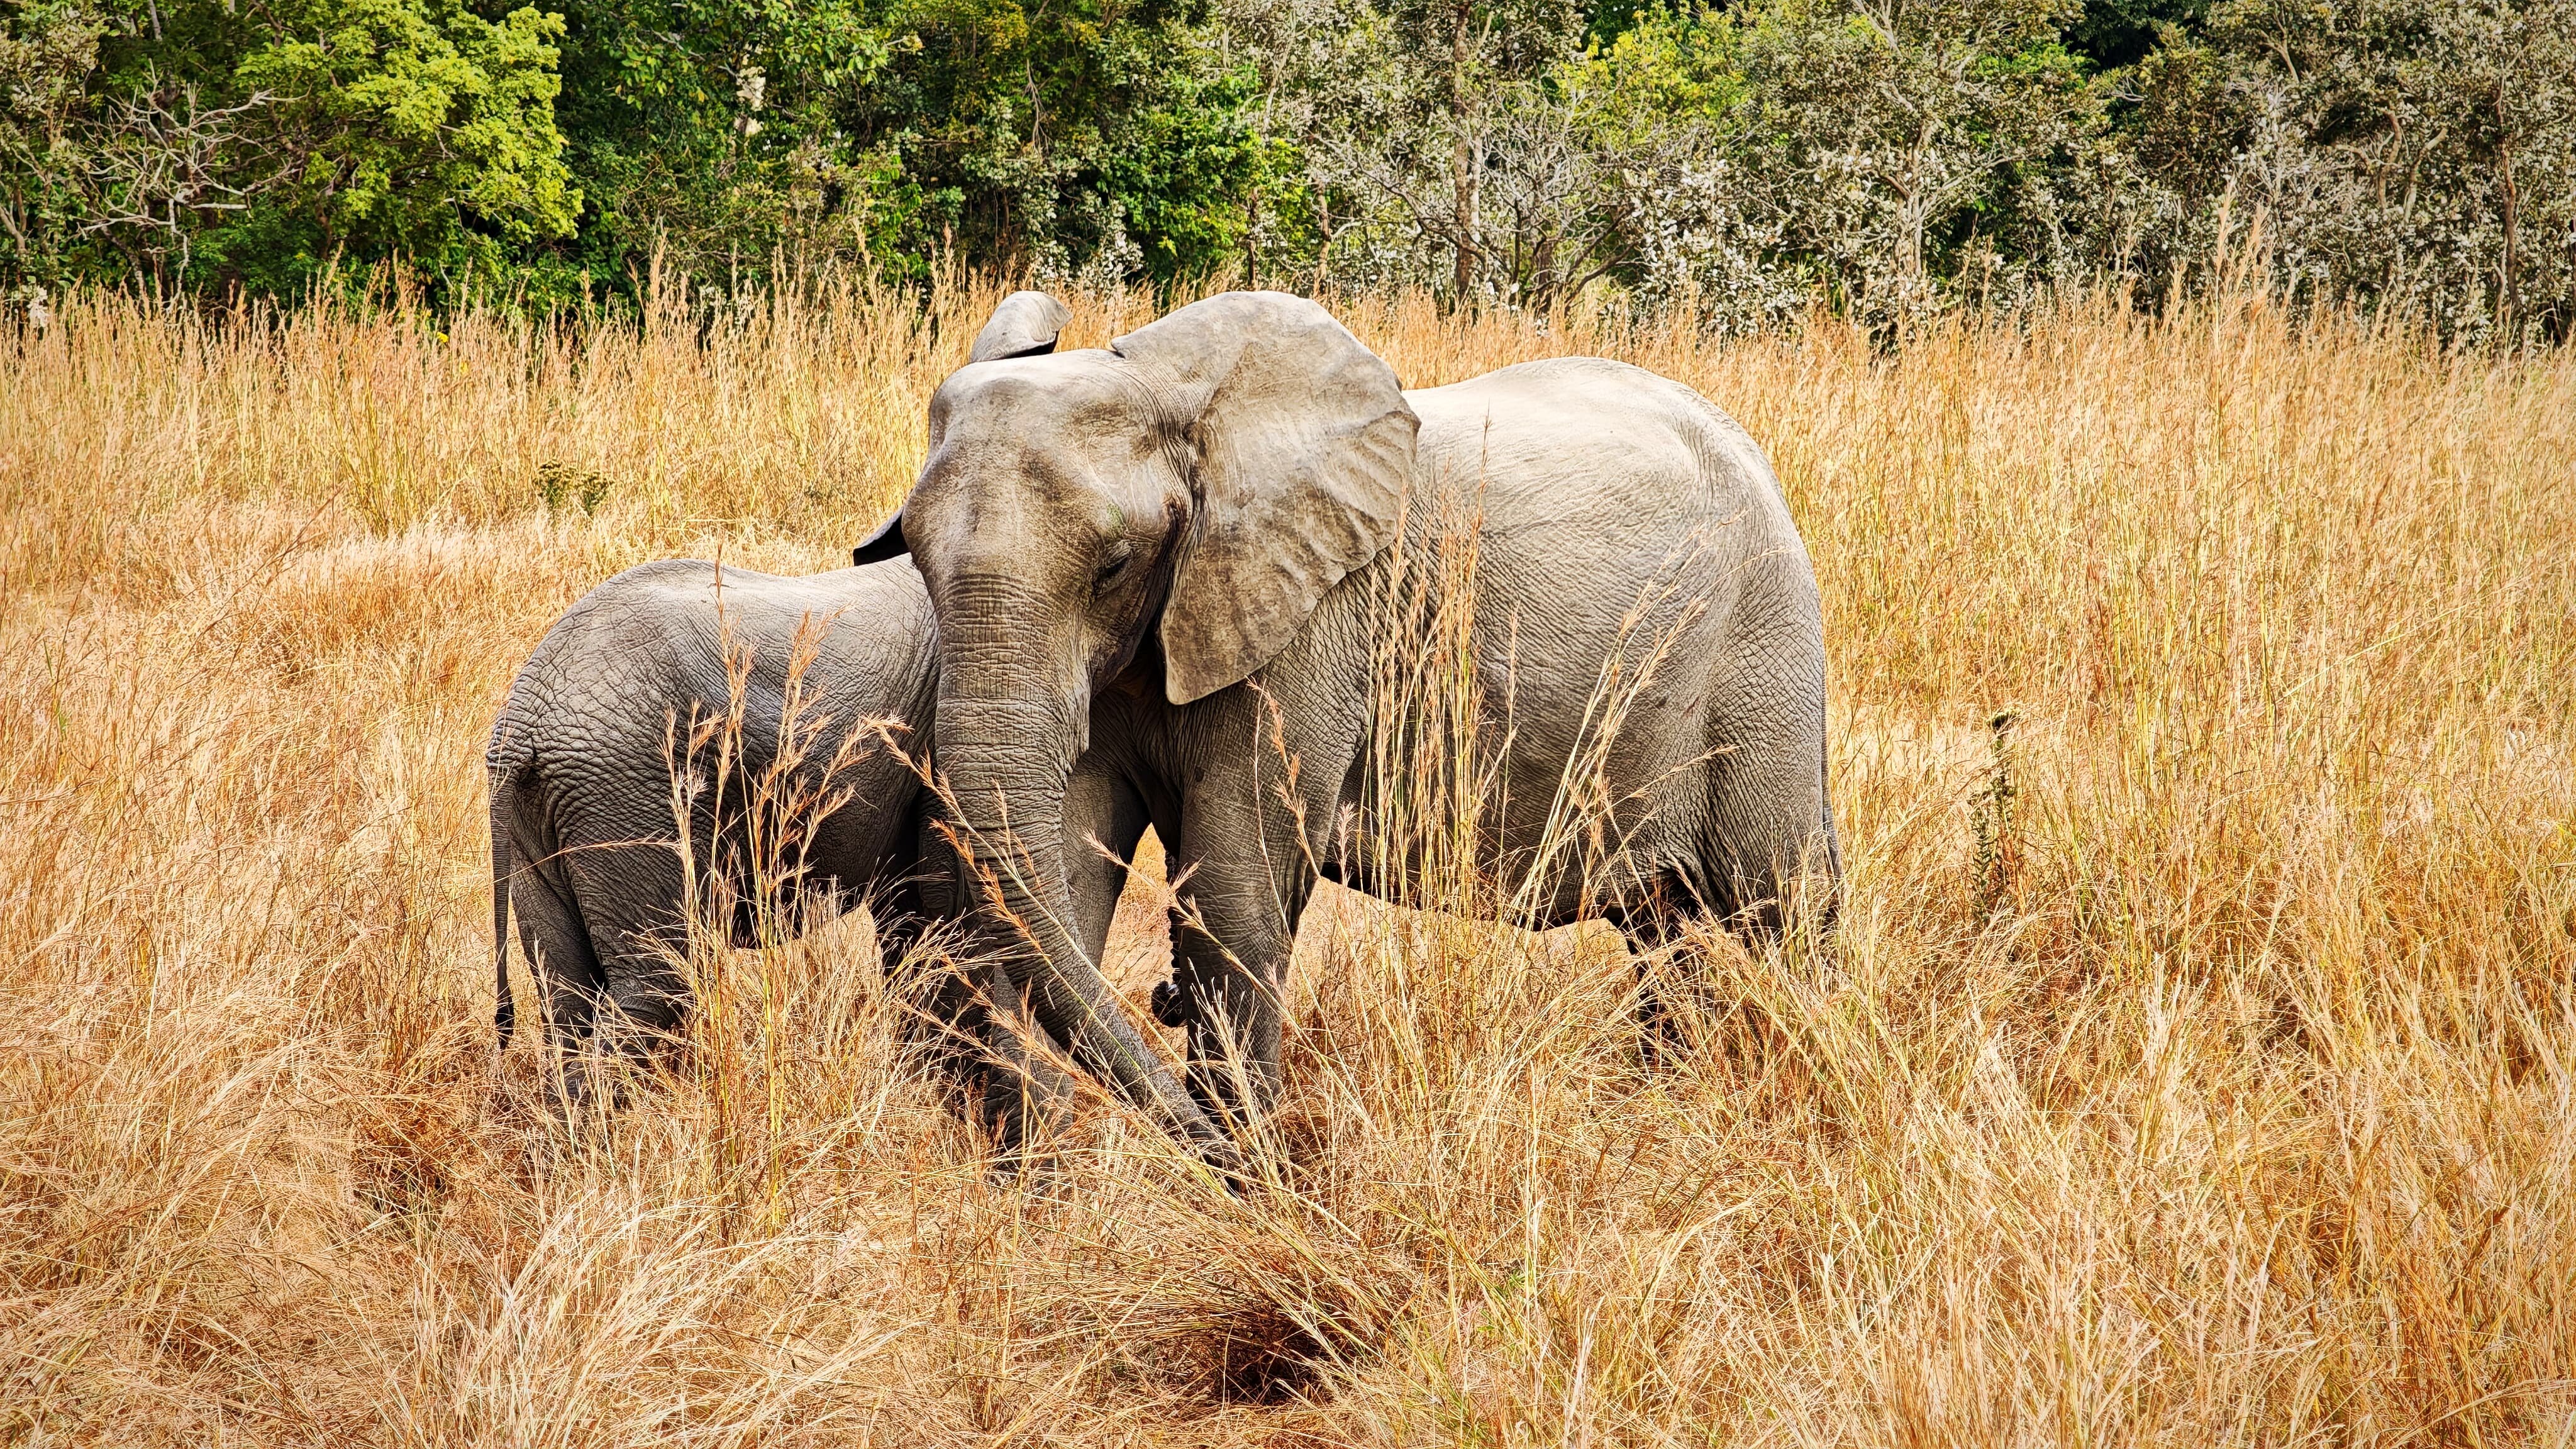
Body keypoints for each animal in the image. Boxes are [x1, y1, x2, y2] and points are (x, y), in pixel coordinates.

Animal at [850, 288, 1841, 1165]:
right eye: (917, 560)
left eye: (1115, 564)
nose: (1159, 1004)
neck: (1179, 403)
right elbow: (1069, 873)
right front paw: (1048, 1189)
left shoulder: (1313, 621)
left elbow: (1234, 901)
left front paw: (1248, 1181)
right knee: (1668, 931)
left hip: (1760, 648)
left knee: (1776, 900)